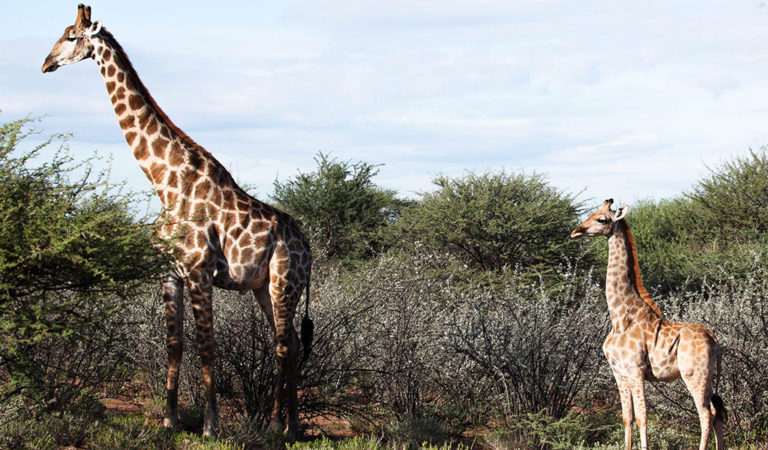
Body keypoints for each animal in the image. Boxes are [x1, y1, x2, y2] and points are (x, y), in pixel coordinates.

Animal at [40, 4, 312, 440]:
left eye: (70, 36)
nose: (46, 63)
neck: (165, 183)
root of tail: (309, 249)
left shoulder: (200, 272)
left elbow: (207, 346)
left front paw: (210, 425)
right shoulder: (169, 273)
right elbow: (174, 344)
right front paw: (169, 419)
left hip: (284, 283)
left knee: (285, 346)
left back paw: (276, 425)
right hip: (263, 287)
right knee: (288, 345)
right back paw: (292, 425)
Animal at [568, 200, 728, 450]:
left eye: (602, 219)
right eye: (591, 214)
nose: (576, 231)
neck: (620, 317)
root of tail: (715, 341)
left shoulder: (636, 370)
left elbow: (642, 416)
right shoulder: (618, 372)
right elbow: (627, 416)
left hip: (694, 374)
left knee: (706, 414)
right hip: (708, 377)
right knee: (717, 412)